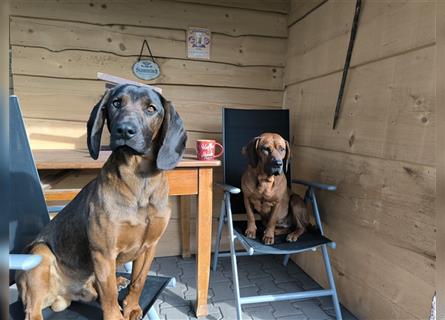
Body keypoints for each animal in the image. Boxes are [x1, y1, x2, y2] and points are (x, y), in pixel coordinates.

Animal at [15, 84, 186, 320]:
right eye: (116, 103)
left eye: (151, 108)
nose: (125, 130)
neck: (138, 182)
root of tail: (62, 296)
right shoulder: (103, 252)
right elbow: (110, 295)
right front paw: (117, 314)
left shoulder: (149, 247)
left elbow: (138, 282)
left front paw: (132, 307)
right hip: (40, 254)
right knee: (33, 310)